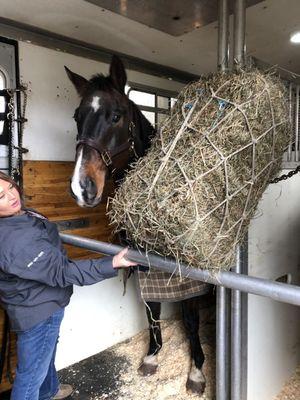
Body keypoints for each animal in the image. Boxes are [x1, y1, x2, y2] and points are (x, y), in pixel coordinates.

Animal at [65, 56, 211, 396]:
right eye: (78, 117)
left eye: (116, 115)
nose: (81, 187)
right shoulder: (145, 269)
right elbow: (152, 311)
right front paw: (152, 355)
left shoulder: (186, 277)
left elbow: (190, 318)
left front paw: (197, 371)